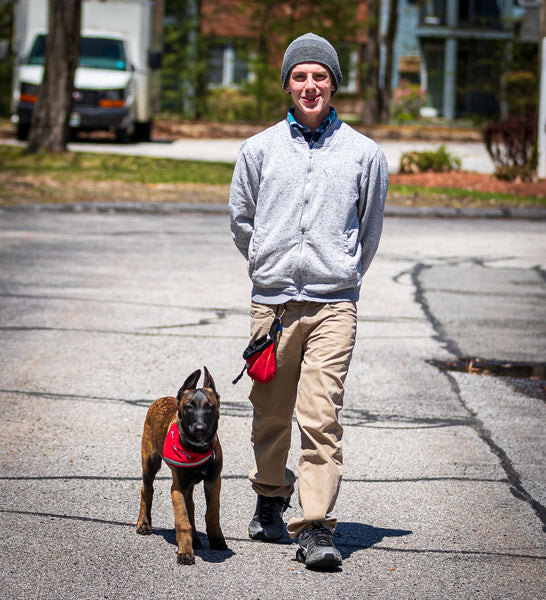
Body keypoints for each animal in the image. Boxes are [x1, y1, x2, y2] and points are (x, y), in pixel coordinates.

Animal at [135, 364, 226, 564]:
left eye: (209, 407)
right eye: (189, 406)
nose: (199, 428)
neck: (197, 449)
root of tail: (161, 399)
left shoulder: (213, 482)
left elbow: (212, 512)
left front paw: (217, 539)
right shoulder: (177, 487)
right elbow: (182, 520)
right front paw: (185, 552)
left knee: (191, 505)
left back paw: (196, 539)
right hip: (150, 463)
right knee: (147, 489)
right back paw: (144, 523)